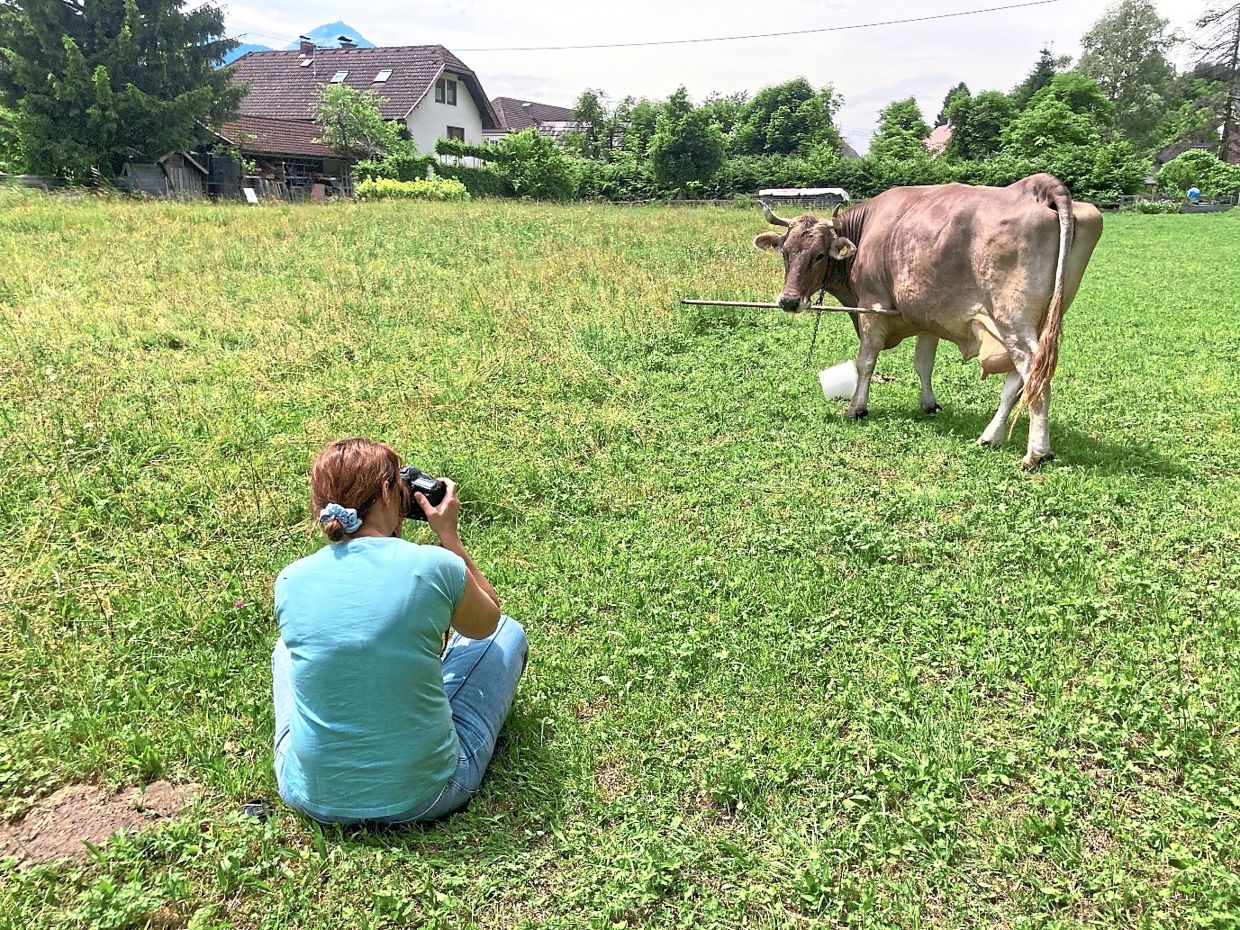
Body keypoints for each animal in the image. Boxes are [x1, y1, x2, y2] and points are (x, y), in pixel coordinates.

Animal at [754, 174, 1103, 469]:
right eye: (786, 252)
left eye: (819, 255)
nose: (789, 300)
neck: (865, 234)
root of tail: (1038, 185)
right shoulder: (928, 317)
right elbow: (923, 363)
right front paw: (929, 404)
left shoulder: (871, 309)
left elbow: (865, 362)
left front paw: (857, 408)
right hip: (1038, 321)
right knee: (1017, 381)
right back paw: (990, 437)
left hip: (1013, 322)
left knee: (1034, 376)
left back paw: (1037, 452)